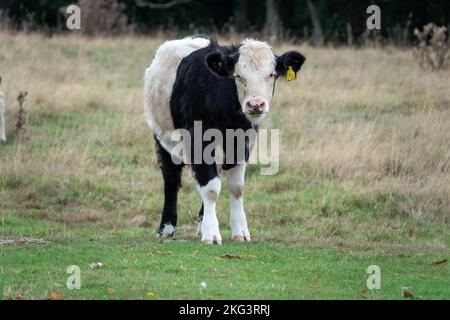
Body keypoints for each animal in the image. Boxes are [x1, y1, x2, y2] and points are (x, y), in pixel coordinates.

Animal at [144, 35, 306, 245]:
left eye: (271, 75)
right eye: (238, 76)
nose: (255, 105)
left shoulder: (244, 143)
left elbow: (236, 187)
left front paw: (239, 231)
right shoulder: (198, 140)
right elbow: (211, 188)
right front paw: (212, 234)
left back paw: (201, 225)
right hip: (163, 138)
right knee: (171, 180)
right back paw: (166, 229)